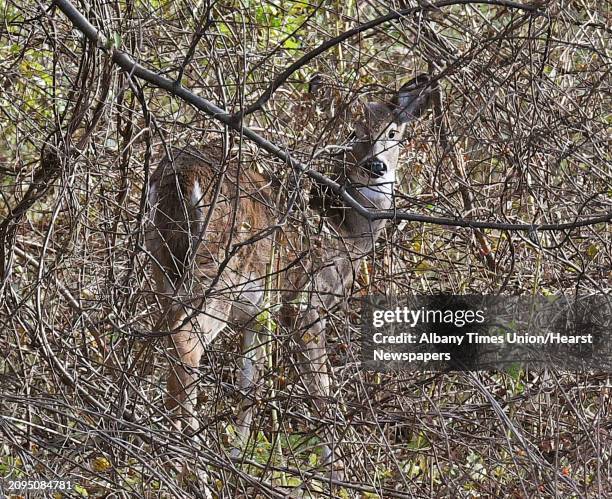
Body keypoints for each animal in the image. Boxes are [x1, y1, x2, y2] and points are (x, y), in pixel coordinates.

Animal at [146, 73, 432, 476]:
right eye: (352, 131)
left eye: (393, 132)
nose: (376, 166)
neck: (346, 235)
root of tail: (183, 177)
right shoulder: (304, 303)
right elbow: (321, 391)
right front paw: (335, 472)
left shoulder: (257, 313)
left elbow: (250, 383)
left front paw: (242, 458)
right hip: (218, 271)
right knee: (185, 344)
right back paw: (187, 460)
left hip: (163, 262)